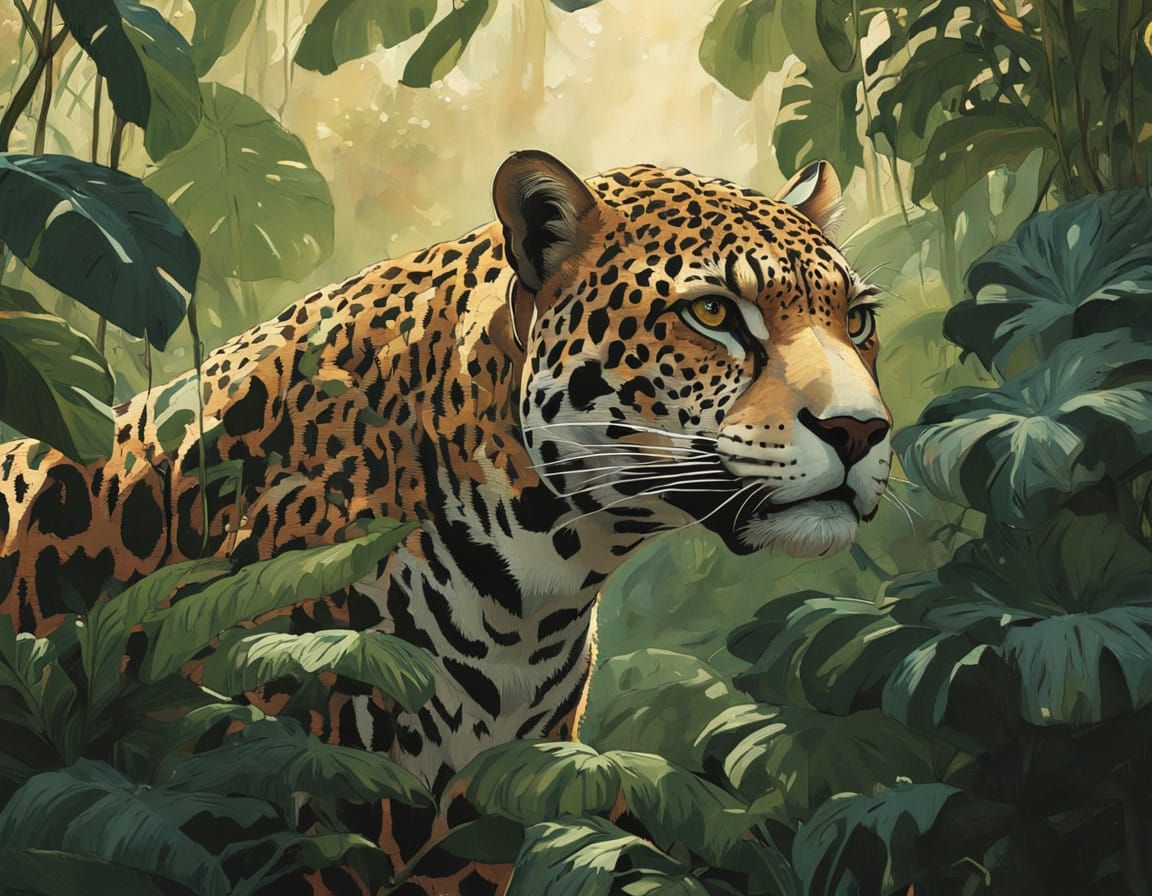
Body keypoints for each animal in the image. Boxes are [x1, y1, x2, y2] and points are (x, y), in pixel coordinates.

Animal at [0, 150, 891, 894]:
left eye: (858, 321)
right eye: (712, 313)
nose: (860, 431)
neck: (543, 573)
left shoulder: (492, 798)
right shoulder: (304, 781)